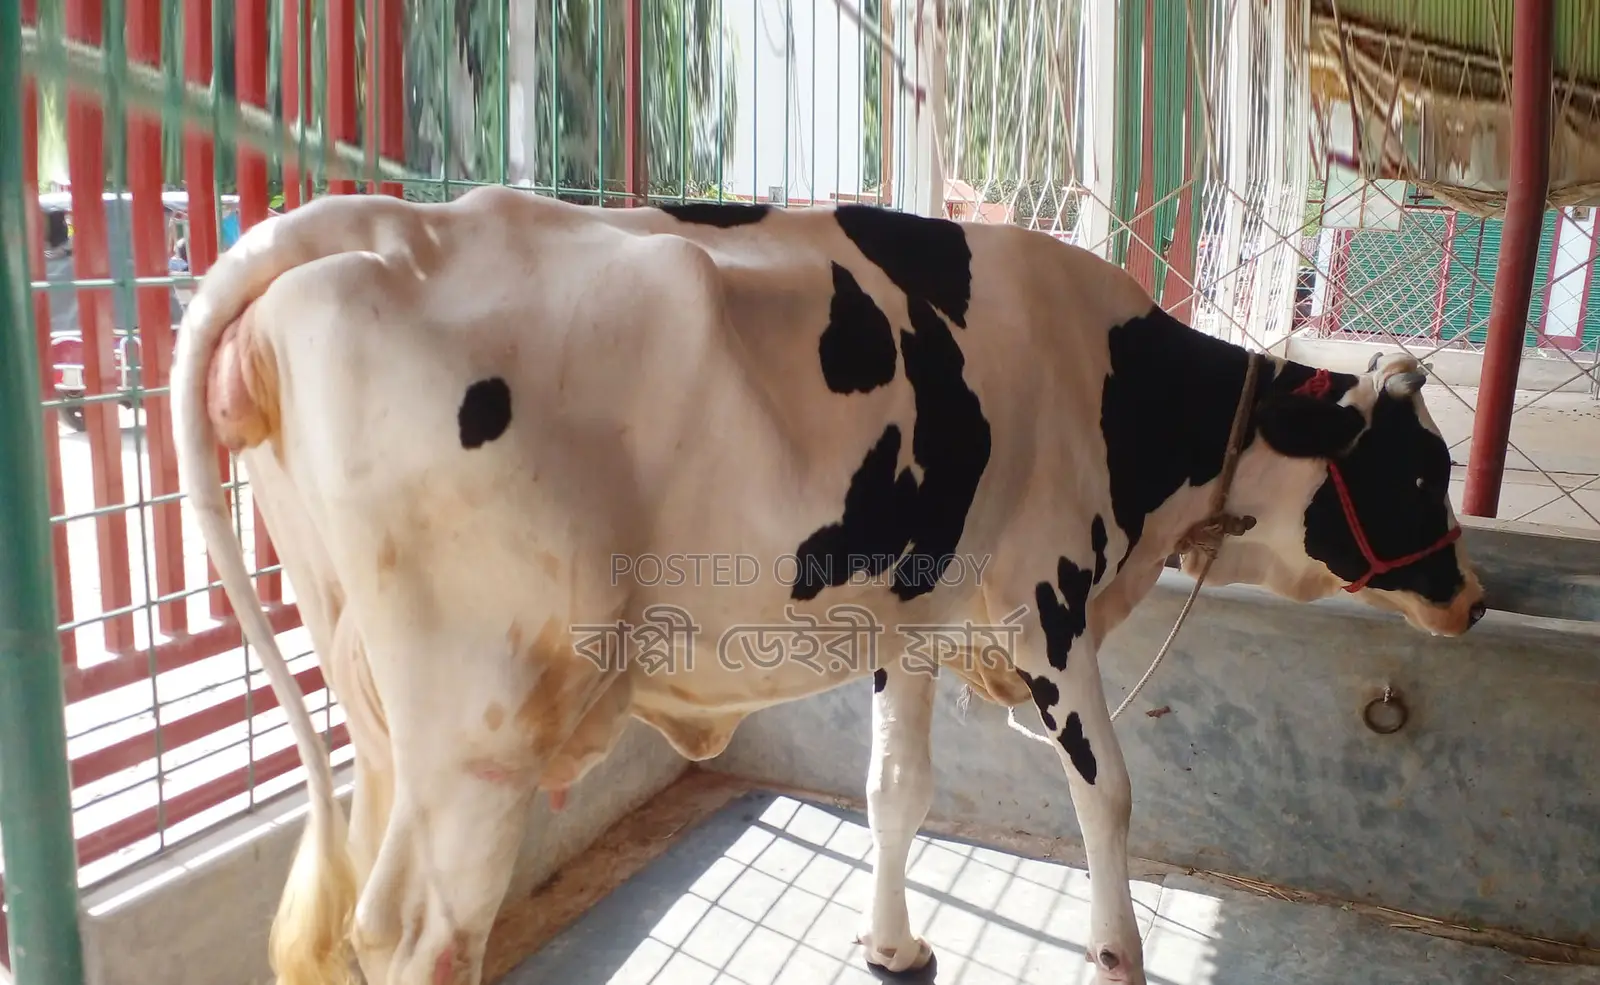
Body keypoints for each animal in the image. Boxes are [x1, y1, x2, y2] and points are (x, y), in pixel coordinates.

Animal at [171, 186, 1485, 985]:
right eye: (1420, 469)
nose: (1470, 601)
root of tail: (383, 224)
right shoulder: (1048, 607)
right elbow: (1108, 795)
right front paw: (1118, 953)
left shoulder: (908, 624)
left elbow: (894, 791)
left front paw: (892, 943)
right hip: (478, 723)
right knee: (420, 935)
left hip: (378, 706)